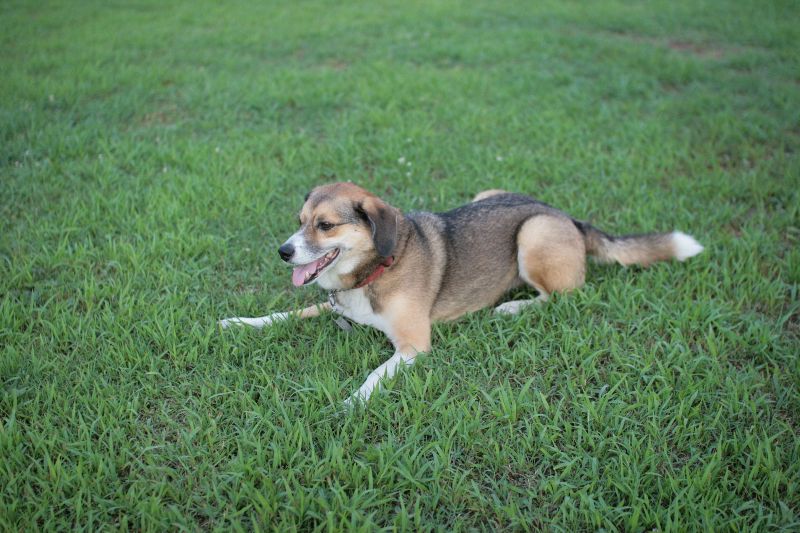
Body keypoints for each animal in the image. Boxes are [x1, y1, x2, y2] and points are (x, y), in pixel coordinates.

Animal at [220, 182, 703, 406]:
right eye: (300, 221)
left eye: (325, 225)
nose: (283, 252)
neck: (376, 269)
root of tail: (566, 216)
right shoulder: (331, 303)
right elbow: (285, 315)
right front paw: (239, 323)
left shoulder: (414, 346)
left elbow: (374, 374)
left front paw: (353, 402)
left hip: (533, 235)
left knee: (564, 295)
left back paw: (513, 306)